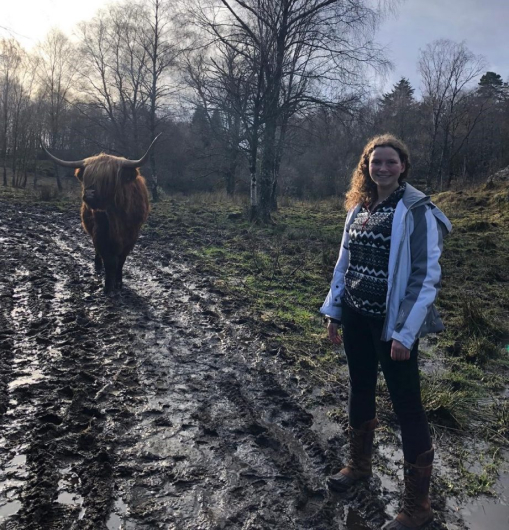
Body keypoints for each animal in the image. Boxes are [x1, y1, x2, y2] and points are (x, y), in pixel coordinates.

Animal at [43, 136, 160, 290]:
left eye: (107, 179)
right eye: (87, 177)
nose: (89, 195)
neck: (116, 217)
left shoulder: (131, 236)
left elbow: (121, 260)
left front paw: (118, 281)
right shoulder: (100, 233)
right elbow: (109, 261)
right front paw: (108, 286)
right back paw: (98, 265)